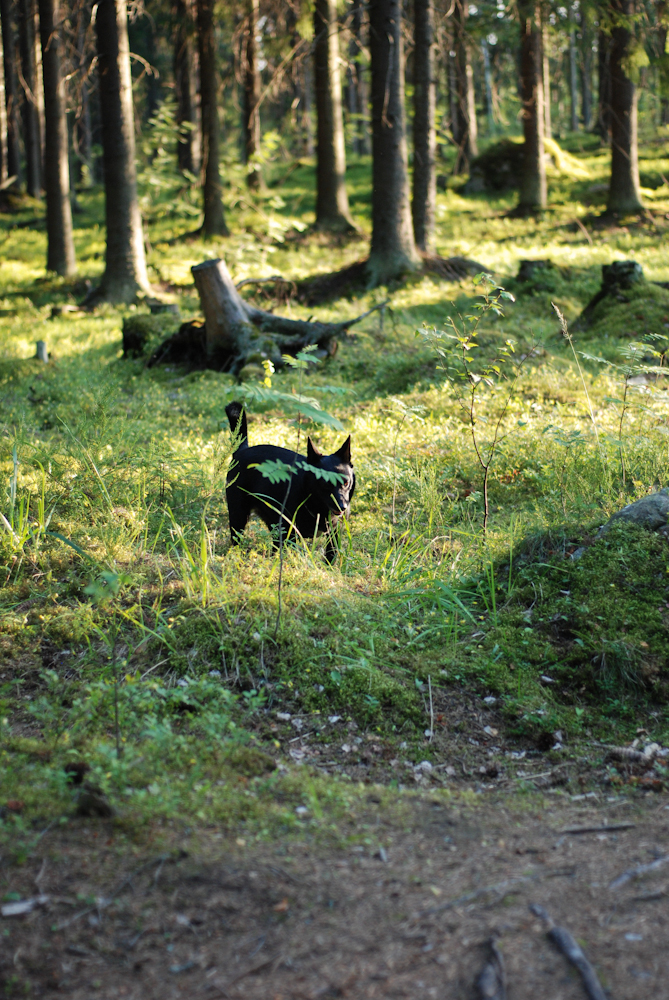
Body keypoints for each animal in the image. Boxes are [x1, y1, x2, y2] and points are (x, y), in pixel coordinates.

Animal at [225, 401, 355, 562]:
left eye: (346, 483)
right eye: (325, 484)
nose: (342, 506)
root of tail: (242, 450)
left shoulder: (333, 533)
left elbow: (331, 554)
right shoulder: (289, 532)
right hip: (238, 515)